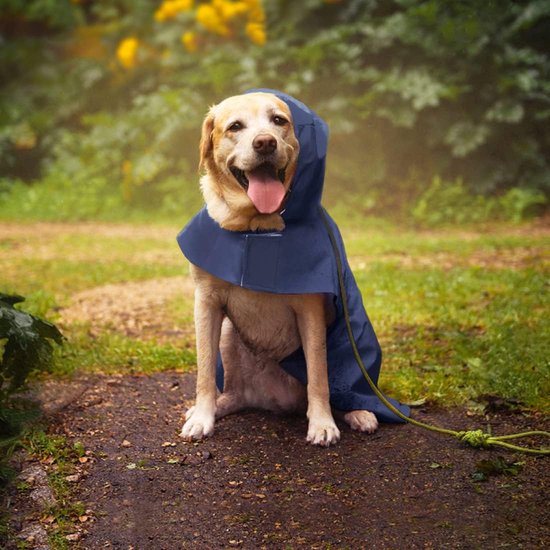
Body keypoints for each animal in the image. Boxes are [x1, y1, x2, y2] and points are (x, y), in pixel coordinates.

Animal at [179, 94, 382, 448]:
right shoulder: (206, 302)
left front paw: (322, 424)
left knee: (340, 390)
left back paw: (358, 412)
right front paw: (202, 417)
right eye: (235, 126)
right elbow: (204, 372)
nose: (264, 142)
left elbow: (319, 376)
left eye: (279, 121)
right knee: (233, 392)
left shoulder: (310, 310)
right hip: (228, 335)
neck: (257, 230)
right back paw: (219, 406)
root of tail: (272, 400)